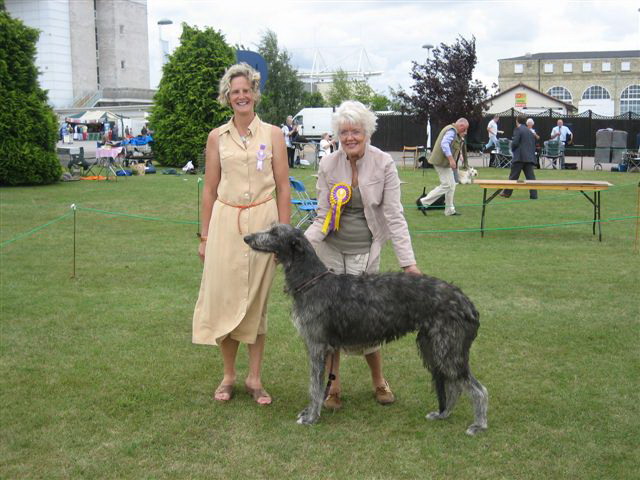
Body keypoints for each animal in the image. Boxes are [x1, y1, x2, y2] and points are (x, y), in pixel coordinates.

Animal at [245, 224, 490, 436]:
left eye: (274, 232)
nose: (246, 238)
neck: (311, 281)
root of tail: (468, 303)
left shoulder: (317, 345)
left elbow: (314, 386)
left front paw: (311, 417)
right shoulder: (322, 347)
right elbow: (318, 384)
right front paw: (310, 412)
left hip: (447, 348)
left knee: (477, 389)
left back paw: (478, 424)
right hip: (432, 346)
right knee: (455, 385)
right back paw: (444, 414)